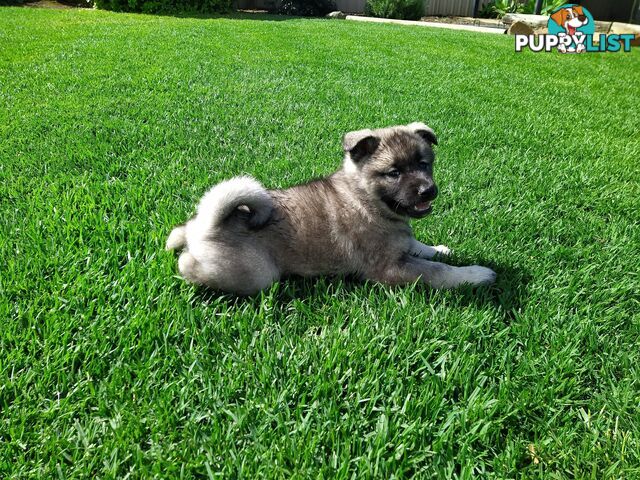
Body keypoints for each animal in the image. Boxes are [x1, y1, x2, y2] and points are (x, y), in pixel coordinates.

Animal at [165, 123, 496, 296]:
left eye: (424, 164)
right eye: (394, 173)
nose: (428, 190)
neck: (364, 199)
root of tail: (210, 225)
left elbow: (418, 245)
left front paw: (438, 248)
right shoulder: (391, 268)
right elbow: (436, 271)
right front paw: (475, 274)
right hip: (258, 274)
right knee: (190, 265)